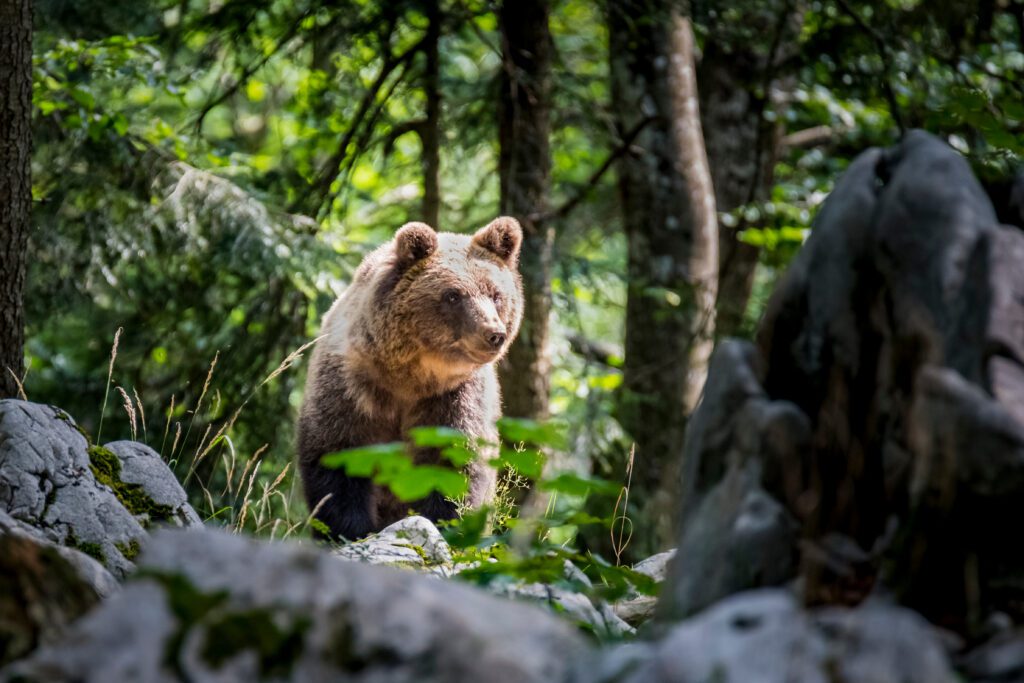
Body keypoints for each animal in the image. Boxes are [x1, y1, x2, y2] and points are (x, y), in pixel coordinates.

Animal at [294, 216, 520, 540]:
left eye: (496, 294)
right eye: (453, 295)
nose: (493, 333)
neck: (409, 377)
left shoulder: (455, 399)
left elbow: (453, 470)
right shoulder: (350, 387)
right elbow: (338, 459)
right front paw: (351, 530)